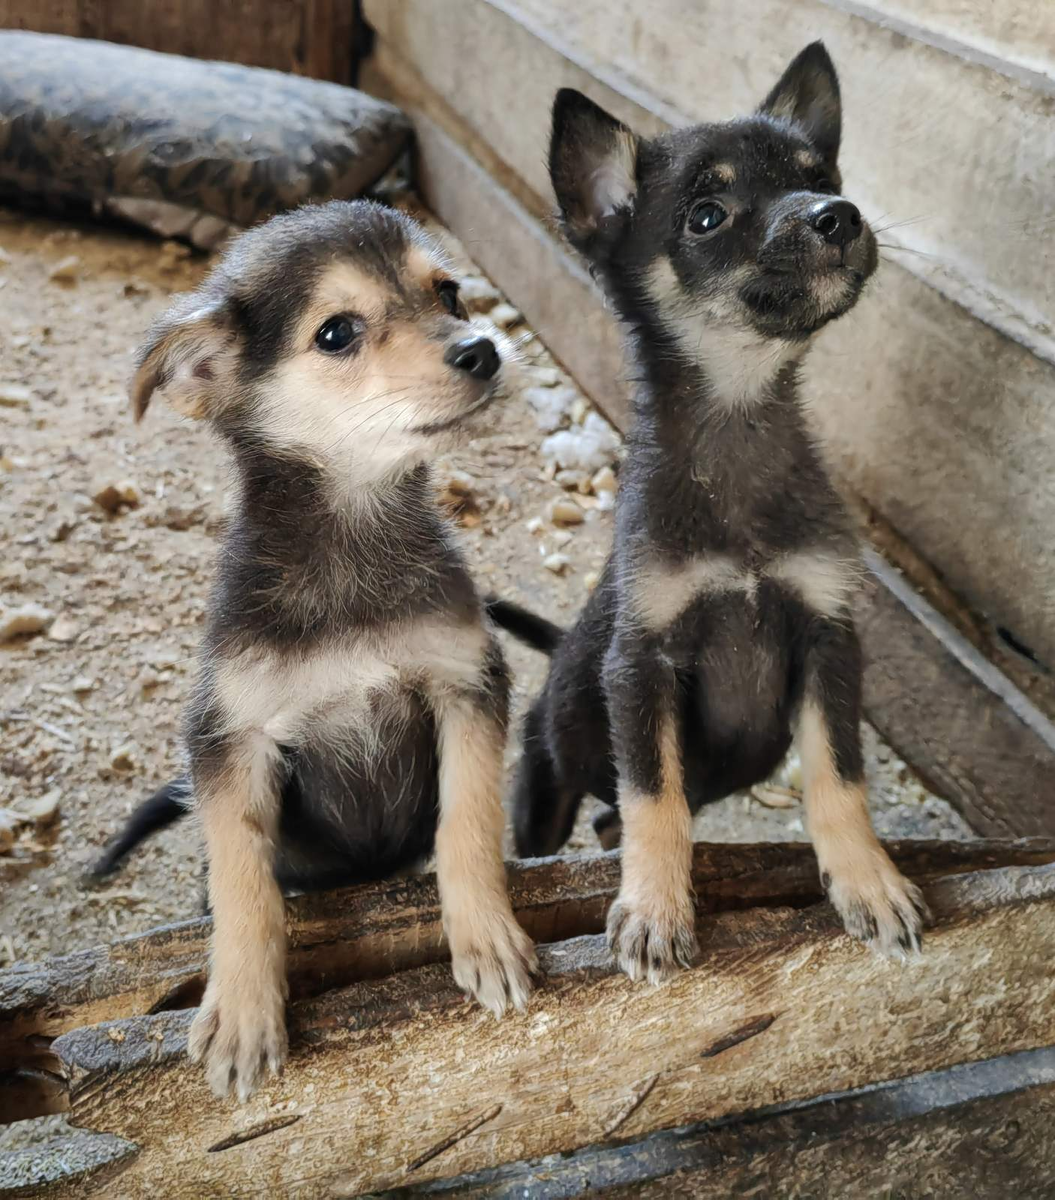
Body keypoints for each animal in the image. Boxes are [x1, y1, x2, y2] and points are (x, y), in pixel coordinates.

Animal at [110, 201, 535, 1099]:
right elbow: (243, 877)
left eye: (447, 291)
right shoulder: (227, 735)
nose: (481, 349)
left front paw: (484, 935)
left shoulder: (468, 681)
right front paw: (241, 1010)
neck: (352, 541)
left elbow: (468, 820)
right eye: (336, 332)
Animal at [506, 44, 926, 984]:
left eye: (817, 176)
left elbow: (837, 778)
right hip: (545, 770)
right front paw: (654, 909)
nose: (838, 216)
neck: (737, 426)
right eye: (706, 216)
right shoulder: (642, 666)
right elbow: (652, 792)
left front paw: (867, 880)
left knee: (611, 817)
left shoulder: (827, 639)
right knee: (570, 822)